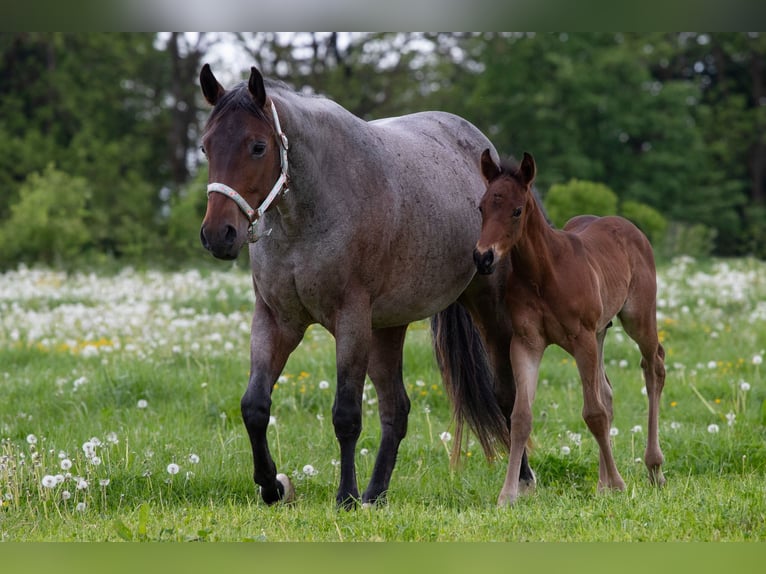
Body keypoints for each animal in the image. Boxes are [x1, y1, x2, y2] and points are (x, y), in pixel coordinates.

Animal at [197, 64, 535, 508]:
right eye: (206, 147)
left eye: (257, 146)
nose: (218, 235)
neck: (306, 219)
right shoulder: (276, 320)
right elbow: (254, 406)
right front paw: (273, 486)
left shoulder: (351, 320)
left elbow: (346, 415)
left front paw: (345, 496)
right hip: (387, 329)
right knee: (397, 409)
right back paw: (376, 493)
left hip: (487, 311)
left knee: (506, 394)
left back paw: (521, 480)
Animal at [473, 150, 666, 506]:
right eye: (481, 207)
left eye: (517, 210)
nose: (483, 258)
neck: (543, 274)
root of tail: (629, 227)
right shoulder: (527, 342)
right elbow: (521, 417)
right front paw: (508, 494)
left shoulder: (581, 338)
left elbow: (594, 414)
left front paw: (619, 484)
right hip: (601, 331)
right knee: (607, 390)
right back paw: (603, 483)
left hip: (637, 318)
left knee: (654, 366)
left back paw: (654, 468)